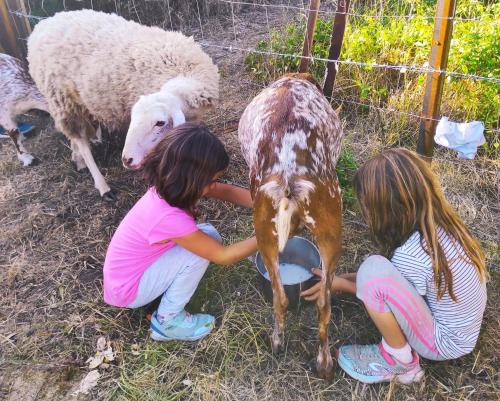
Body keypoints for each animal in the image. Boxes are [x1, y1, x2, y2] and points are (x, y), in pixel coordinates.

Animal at [27, 10, 219, 200]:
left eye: (160, 123)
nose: (127, 160)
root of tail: (44, 23)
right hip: (62, 99)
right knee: (81, 140)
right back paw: (103, 186)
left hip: (78, 103)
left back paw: (78, 159)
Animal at [239, 72, 344, 378]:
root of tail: (289, 177)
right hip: (330, 230)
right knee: (321, 303)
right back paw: (321, 361)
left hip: (267, 235)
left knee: (284, 299)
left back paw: (280, 344)